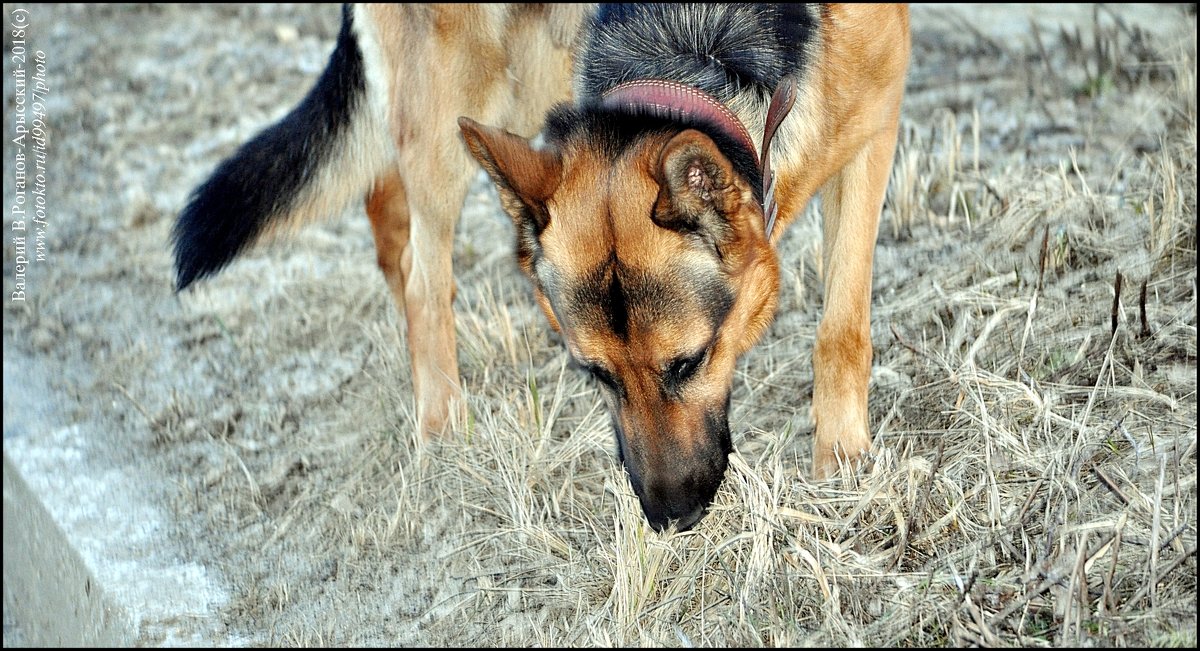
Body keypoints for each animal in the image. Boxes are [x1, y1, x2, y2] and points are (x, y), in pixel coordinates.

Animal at [174, 5, 907, 533]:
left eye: (690, 362)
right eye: (595, 374)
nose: (671, 519)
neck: (699, 44)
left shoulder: (877, 126)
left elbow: (841, 327)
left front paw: (842, 457)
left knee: (384, 206)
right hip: (451, 104)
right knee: (421, 275)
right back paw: (442, 429)